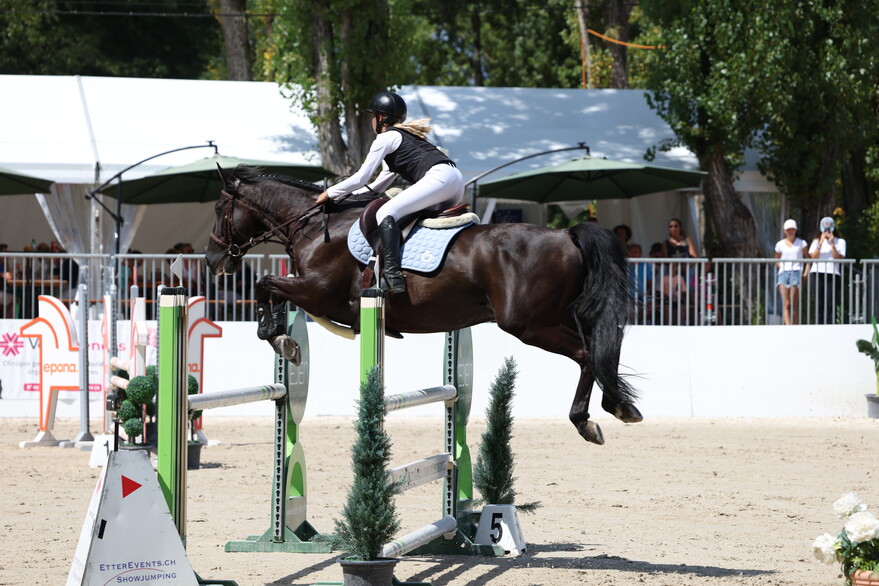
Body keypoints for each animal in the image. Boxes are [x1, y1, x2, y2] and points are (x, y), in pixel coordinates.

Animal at [205, 165, 642, 445]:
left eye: (218, 209)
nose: (211, 260)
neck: (312, 225)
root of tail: (566, 234)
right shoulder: (312, 294)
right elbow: (270, 290)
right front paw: (281, 336)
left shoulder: (317, 291)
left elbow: (264, 285)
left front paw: (280, 339)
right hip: (554, 317)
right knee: (602, 347)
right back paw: (619, 405)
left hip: (527, 324)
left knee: (587, 354)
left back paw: (587, 420)